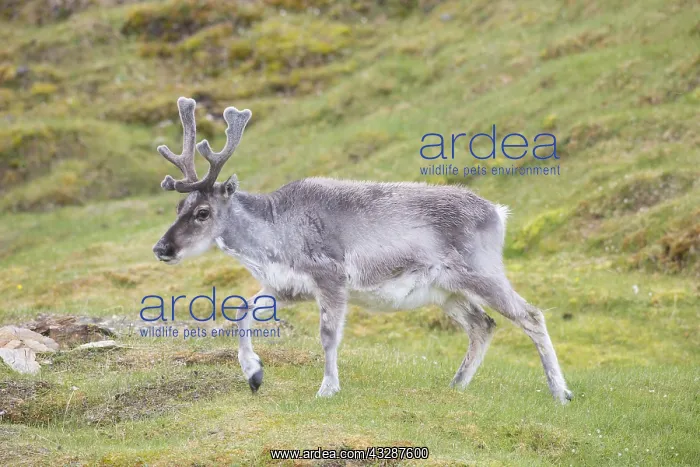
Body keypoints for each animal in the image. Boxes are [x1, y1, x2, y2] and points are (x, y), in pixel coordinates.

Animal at [152, 97, 573, 404]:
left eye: (203, 212)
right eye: (179, 206)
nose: (161, 247)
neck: (274, 236)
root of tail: (498, 212)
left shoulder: (332, 277)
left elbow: (328, 335)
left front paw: (327, 388)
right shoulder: (283, 286)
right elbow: (241, 314)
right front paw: (254, 374)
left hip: (482, 273)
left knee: (530, 315)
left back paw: (561, 392)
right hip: (446, 291)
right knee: (483, 325)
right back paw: (456, 385)